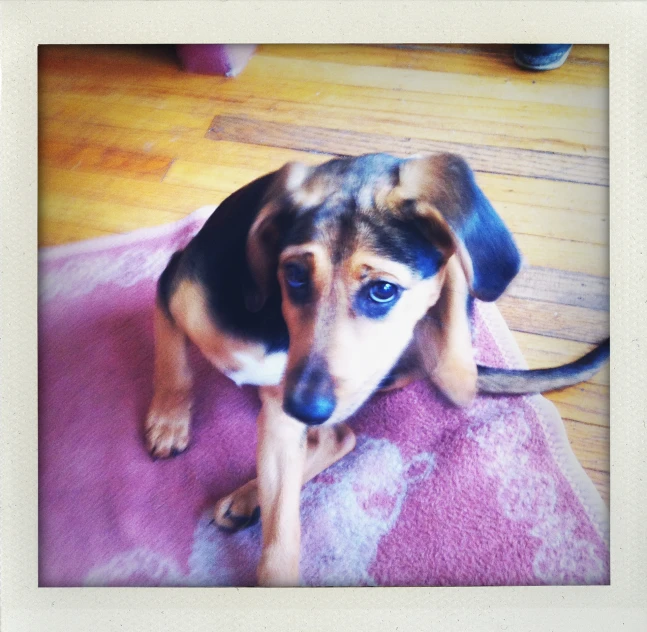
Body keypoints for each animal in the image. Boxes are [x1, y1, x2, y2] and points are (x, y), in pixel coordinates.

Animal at [144, 153, 612, 588]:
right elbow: (172, 359)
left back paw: (250, 497)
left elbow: (283, 530)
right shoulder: (174, 283)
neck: (272, 320)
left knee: (343, 435)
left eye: (383, 290)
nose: (305, 407)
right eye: (293, 274)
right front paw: (168, 421)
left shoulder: (283, 413)